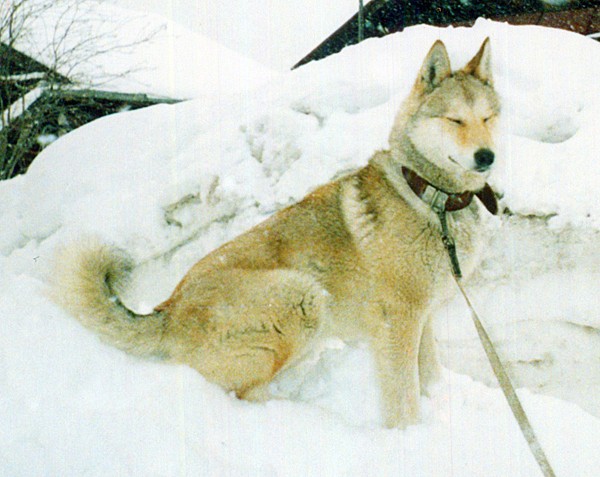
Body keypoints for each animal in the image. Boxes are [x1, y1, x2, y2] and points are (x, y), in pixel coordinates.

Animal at [51, 38, 500, 428]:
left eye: (487, 117)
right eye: (454, 119)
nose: (486, 156)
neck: (433, 198)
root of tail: (169, 310)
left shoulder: (425, 317)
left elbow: (430, 378)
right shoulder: (398, 319)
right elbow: (403, 398)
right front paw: (406, 435)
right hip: (303, 297)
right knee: (242, 394)